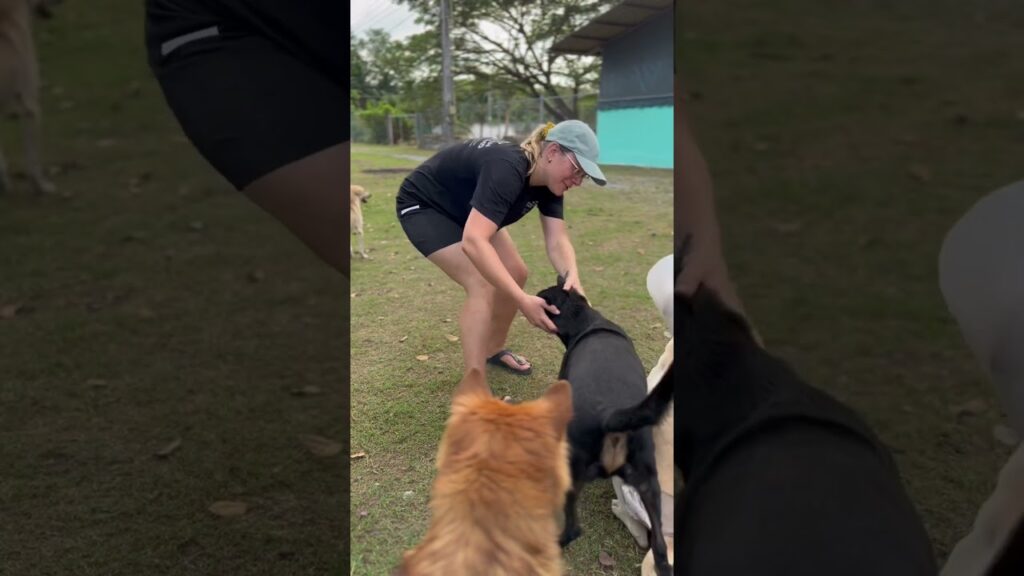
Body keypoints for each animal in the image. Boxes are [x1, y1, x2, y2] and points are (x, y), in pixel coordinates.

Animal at [536, 280, 671, 573]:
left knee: (573, 529)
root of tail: (611, 414)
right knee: (660, 548)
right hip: (648, 484)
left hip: (574, 470)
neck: (587, 320)